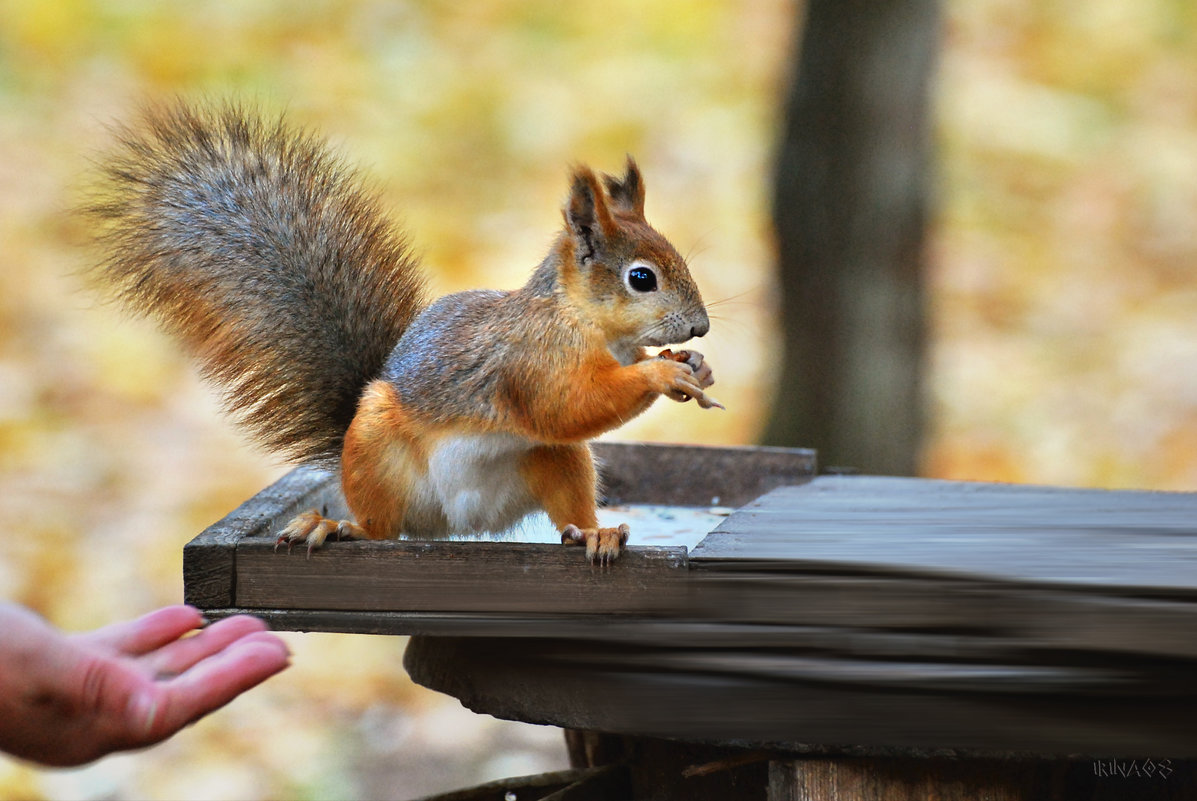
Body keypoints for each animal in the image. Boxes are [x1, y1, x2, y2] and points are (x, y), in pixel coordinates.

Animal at [88, 101, 718, 562]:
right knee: (382, 528)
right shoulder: (528, 359)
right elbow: (565, 405)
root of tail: (462, 524)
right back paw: (336, 528)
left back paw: (595, 533)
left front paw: (692, 366)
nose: (700, 327)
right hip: (376, 453)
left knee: (568, 510)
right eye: (641, 278)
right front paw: (663, 371)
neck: (586, 322)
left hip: (558, 463)